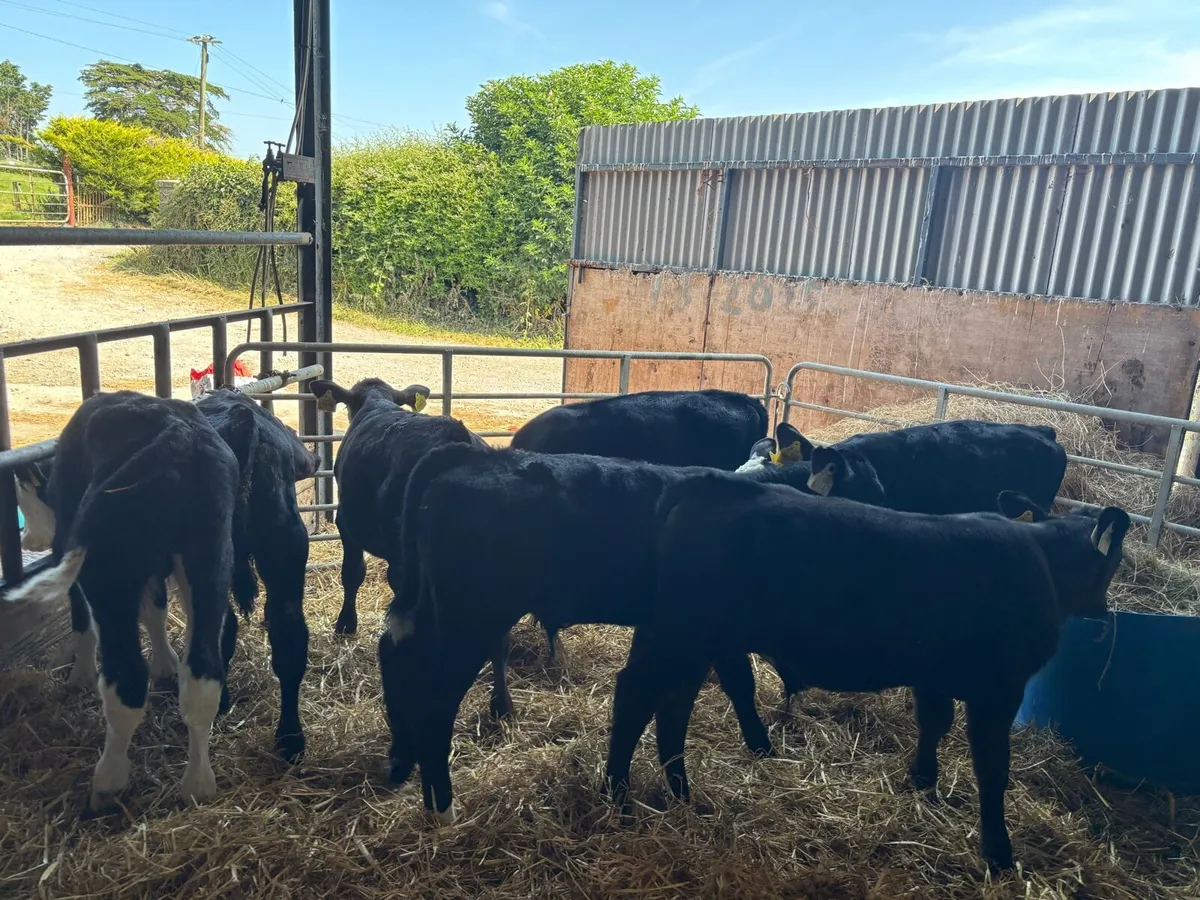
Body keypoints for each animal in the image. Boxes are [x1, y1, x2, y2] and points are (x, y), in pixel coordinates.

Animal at [3, 391, 241, 810]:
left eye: (23, 493)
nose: (28, 538)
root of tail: (177, 442)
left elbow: (82, 623)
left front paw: (79, 676)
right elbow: (156, 609)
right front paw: (166, 664)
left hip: (107, 569)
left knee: (126, 678)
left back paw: (107, 784)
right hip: (209, 557)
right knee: (203, 673)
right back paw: (197, 784)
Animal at [374, 441, 888, 824]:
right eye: (867, 487)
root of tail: (472, 458)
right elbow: (735, 681)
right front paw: (761, 745)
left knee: (396, 655)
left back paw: (403, 764)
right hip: (471, 618)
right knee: (435, 698)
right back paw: (443, 807)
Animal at [603, 474, 1129, 873]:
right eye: (1116, 559)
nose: (1102, 609)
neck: (1042, 562)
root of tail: (705, 484)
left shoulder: (932, 675)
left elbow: (932, 724)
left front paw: (923, 783)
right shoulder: (999, 687)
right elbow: (992, 767)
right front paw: (998, 854)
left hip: (683, 639)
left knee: (672, 704)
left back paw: (681, 793)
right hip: (682, 634)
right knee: (636, 697)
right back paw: (617, 795)